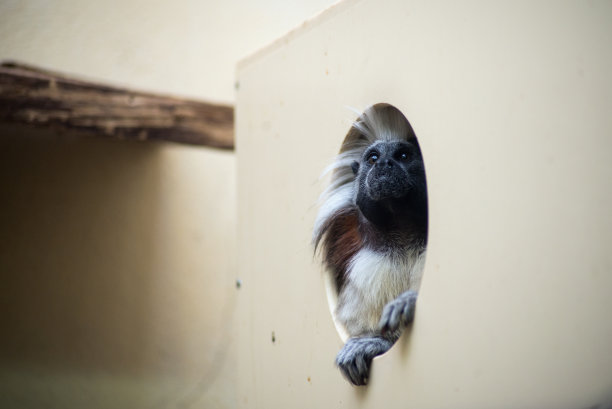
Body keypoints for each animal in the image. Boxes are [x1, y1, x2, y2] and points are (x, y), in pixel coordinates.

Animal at [314, 103, 428, 384]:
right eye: (373, 158)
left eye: (403, 155)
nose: (385, 164)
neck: (402, 236)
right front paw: (373, 342)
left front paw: (405, 303)